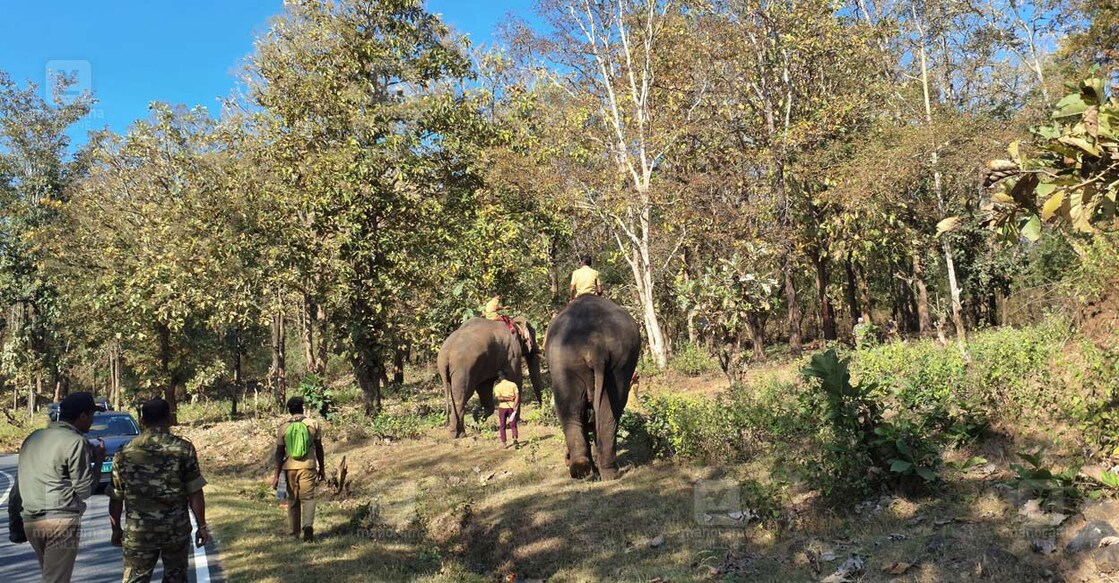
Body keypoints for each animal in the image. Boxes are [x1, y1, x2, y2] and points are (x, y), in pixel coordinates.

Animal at [541, 293, 640, 478]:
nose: (565, 458)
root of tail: (596, 347)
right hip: (619, 361)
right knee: (607, 411)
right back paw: (603, 472)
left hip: (566, 361)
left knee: (572, 411)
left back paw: (585, 471)